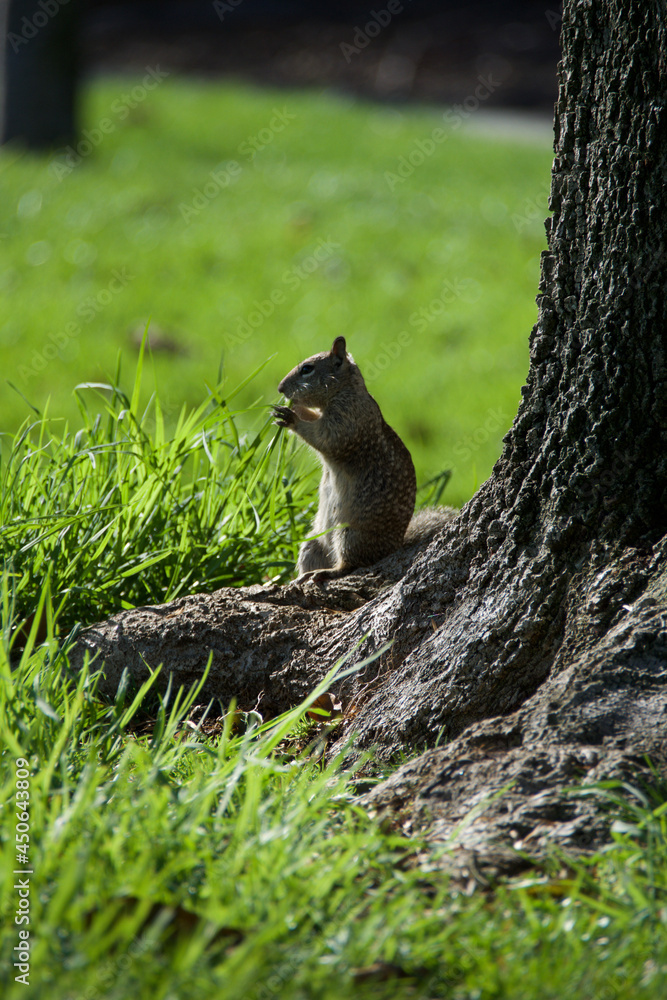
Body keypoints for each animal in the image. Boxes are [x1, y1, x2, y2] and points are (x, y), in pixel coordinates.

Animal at [272, 336, 455, 581]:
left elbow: (324, 437)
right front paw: (293, 409)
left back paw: (326, 572)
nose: (280, 388)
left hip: (349, 534)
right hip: (313, 544)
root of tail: (392, 548)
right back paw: (301, 577)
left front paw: (291, 417)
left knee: (349, 565)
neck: (345, 391)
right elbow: (315, 420)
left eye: (307, 369)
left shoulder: (346, 421)